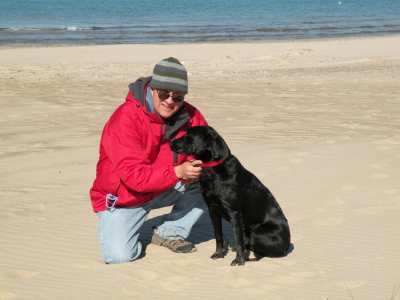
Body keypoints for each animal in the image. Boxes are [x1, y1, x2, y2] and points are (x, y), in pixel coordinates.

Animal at [172, 125, 290, 266]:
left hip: (256, 232)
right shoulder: (213, 209)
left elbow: (238, 239)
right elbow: (218, 235)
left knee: (259, 251)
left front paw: (239, 260)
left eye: (189, 137)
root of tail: (288, 246)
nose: (171, 143)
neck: (213, 168)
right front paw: (219, 253)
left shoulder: (234, 213)